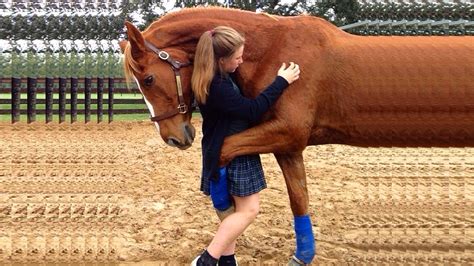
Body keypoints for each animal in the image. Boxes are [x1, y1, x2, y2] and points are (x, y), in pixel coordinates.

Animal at [122, 7, 474, 264]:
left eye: (149, 79)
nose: (173, 137)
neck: (271, 50)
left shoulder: (286, 133)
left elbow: (222, 150)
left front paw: (224, 207)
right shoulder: (287, 145)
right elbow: (299, 198)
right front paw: (304, 253)